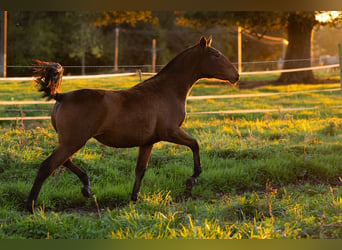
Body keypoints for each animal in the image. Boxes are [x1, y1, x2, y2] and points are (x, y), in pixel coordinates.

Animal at [26, 36, 239, 213]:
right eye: (216, 55)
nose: (236, 76)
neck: (166, 91)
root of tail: (61, 96)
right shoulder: (170, 132)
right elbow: (195, 144)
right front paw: (192, 179)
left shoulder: (148, 142)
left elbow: (140, 170)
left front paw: (134, 199)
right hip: (73, 141)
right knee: (48, 166)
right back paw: (31, 206)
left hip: (69, 142)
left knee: (64, 162)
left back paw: (86, 188)